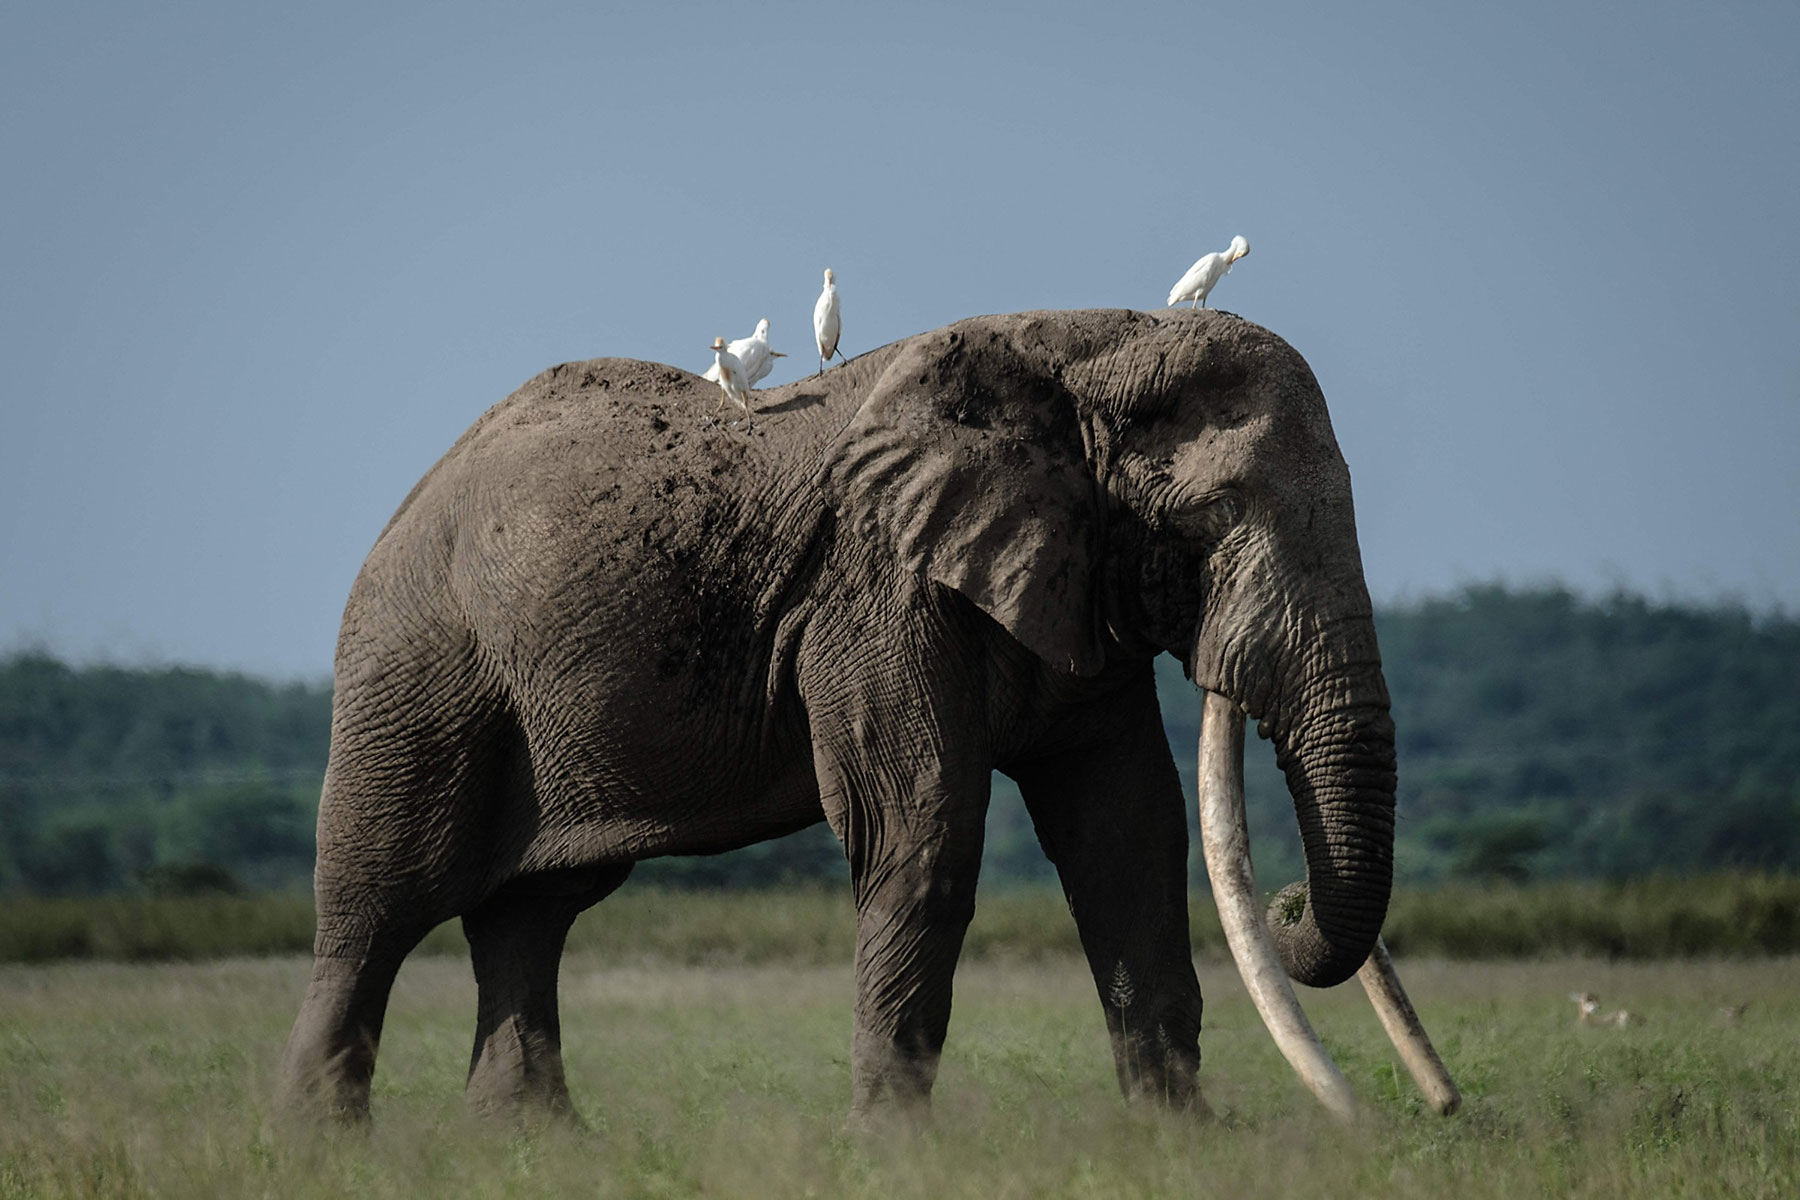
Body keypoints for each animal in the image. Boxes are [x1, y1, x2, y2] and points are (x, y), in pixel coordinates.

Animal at [276, 306, 1454, 1125]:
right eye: (1211, 516)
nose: (1292, 903)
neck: (1085, 344)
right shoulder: (875, 585)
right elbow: (921, 826)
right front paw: (896, 1150)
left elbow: (1127, 835)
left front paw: (1182, 1141)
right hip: (420, 667)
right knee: (377, 906)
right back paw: (325, 1147)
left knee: (531, 913)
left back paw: (537, 1149)